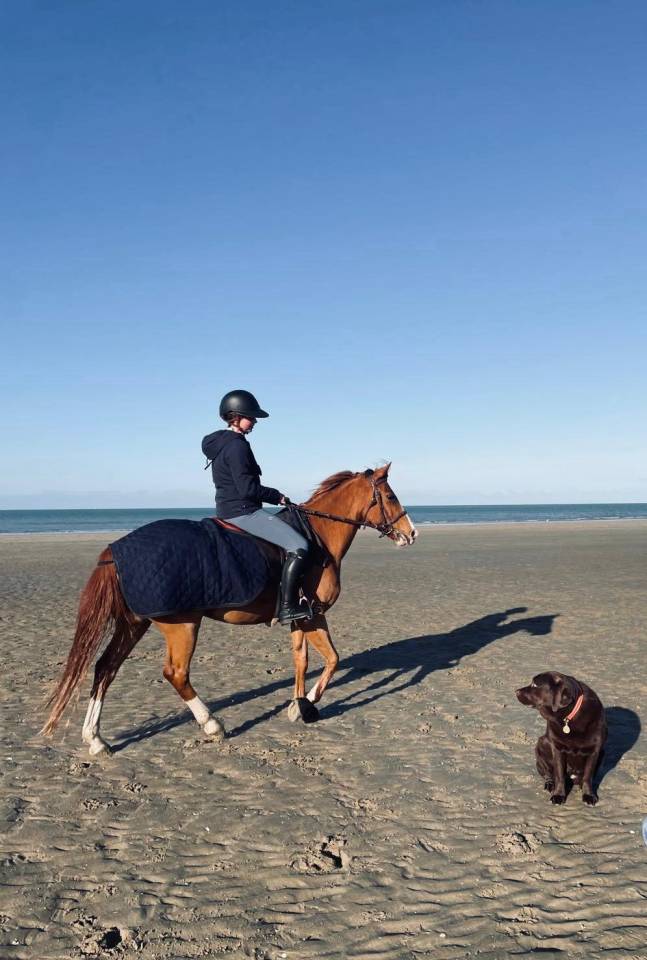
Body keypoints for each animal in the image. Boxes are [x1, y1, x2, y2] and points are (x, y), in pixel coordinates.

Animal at [42, 463, 417, 756]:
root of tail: (116, 547)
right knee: (175, 673)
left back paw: (95, 739)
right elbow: (332, 660)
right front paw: (306, 706)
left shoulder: (303, 616)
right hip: (182, 625)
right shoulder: (316, 615)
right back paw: (212, 724)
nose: (412, 534)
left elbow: (303, 660)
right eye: (391, 496)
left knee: (106, 668)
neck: (319, 538)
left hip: (135, 623)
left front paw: (296, 706)